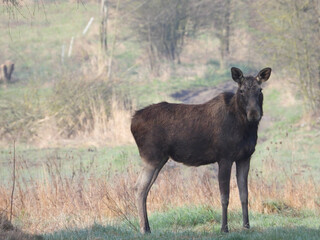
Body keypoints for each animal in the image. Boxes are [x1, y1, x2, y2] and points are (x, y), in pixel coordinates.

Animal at [131, 66, 272, 233]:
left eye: (260, 90)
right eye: (242, 90)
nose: (254, 114)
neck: (245, 127)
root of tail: (132, 121)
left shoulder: (245, 157)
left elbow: (244, 195)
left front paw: (247, 226)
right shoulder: (225, 157)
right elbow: (225, 196)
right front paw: (224, 228)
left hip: (160, 159)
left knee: (144, 189)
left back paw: (147, 227)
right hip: (151, 156)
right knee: (139, 188)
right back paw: (144, 228)